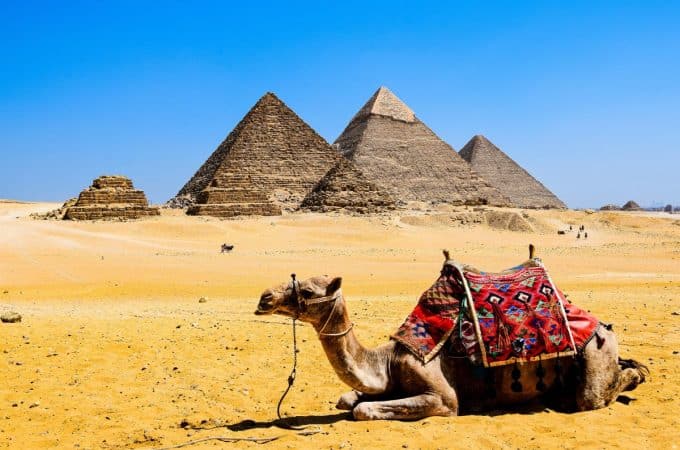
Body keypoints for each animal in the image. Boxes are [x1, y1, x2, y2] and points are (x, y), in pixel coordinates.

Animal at [255, 267, 647, 421]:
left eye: (308, 291)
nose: (264, 298)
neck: (386, 361)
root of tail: (602, 325)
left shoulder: (443, 398)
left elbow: (362, 409)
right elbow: (347, 399)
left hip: (596, 352)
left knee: (595, 395)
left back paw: (635, 377)